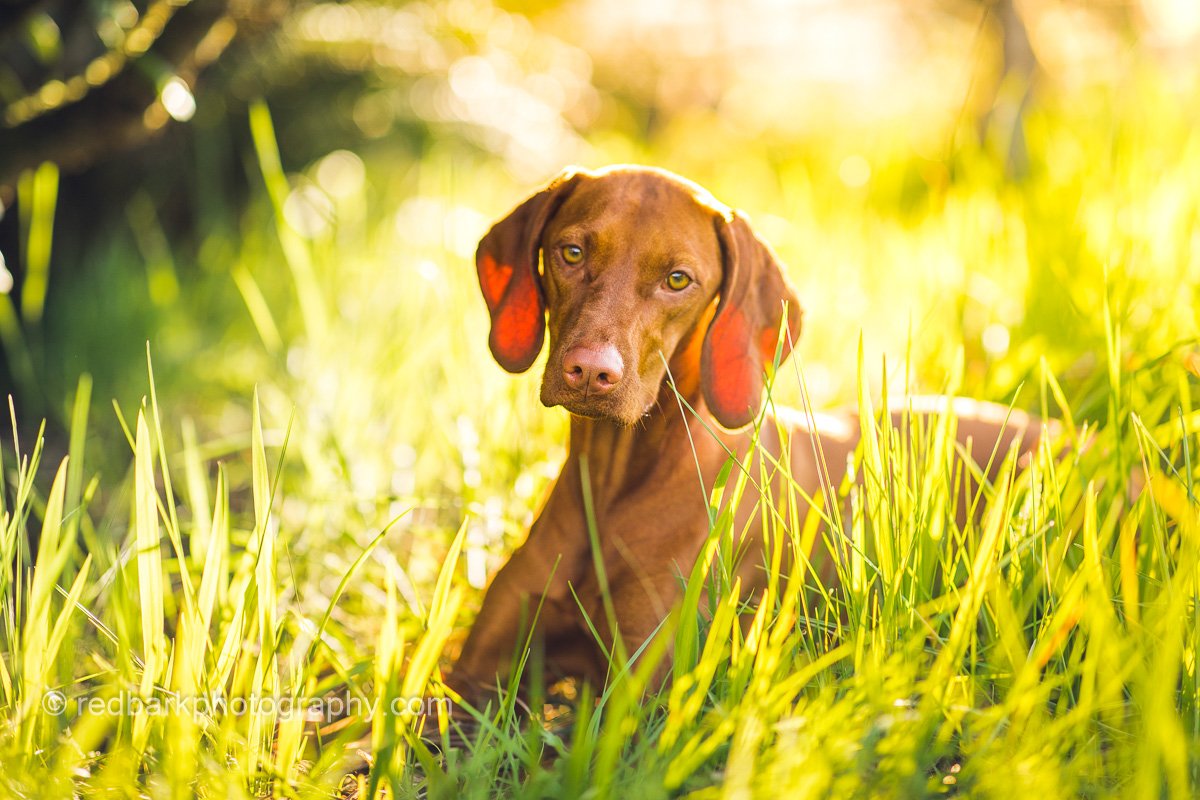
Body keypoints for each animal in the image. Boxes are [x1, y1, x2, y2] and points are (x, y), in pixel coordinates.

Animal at [446, 164, 1046, 705]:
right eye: (570, 253)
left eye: (678, 280)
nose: (591, 372)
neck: (612, 488)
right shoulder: (470, 681)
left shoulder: (636, 696)